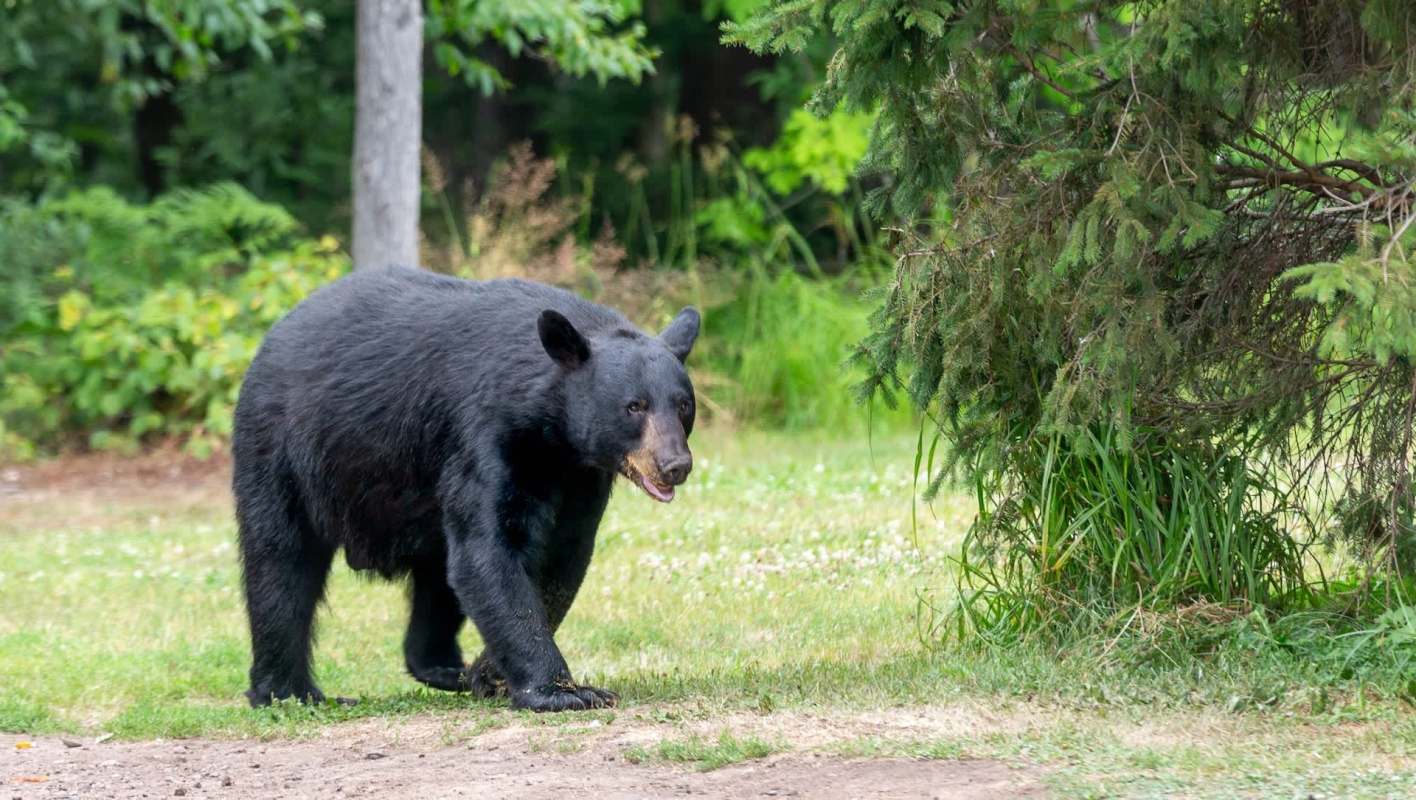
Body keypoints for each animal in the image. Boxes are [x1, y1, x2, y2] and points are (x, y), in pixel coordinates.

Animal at [232, 266, 698, 712]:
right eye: (634, 406)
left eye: (683, 405)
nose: (675, 465)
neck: (551, 435)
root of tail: (270, 339)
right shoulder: (484, 435)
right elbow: (487, 553)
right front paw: (563, 691)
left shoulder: (579, 476)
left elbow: (561, 559)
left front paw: (490, 674)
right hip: (281, 452)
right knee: (281, 565)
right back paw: (288, 691)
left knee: (437, 579)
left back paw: (445, 668)